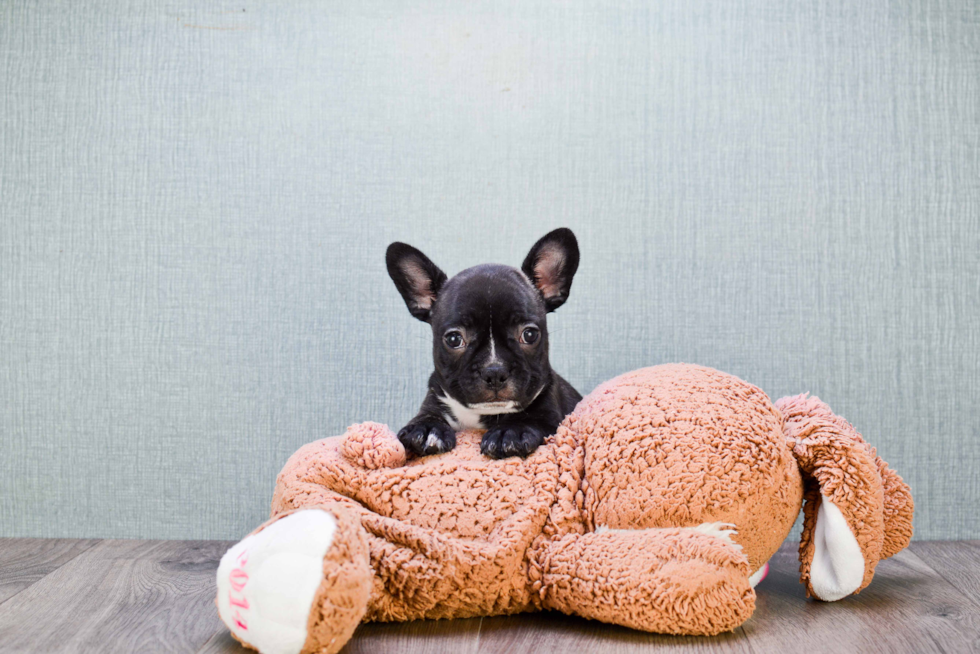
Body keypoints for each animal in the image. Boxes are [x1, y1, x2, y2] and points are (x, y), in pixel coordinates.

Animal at [384, 229, 580, 462]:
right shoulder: (434, 397)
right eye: (453, 339)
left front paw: (510, 432)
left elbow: (532, 420)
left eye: (530, 334)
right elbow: (427, 415)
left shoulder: (551, 416)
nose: (494, 371)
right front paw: (426, 429)